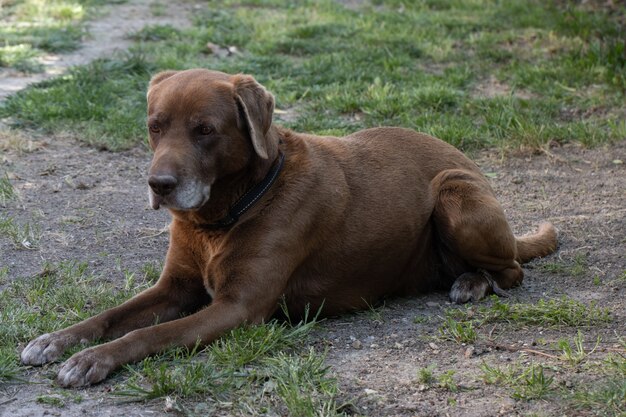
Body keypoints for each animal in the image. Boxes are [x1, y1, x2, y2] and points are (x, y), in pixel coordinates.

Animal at [20, 69, 556, 386]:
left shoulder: (237, 308)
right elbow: (112, 316)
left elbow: (147, 336)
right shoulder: (174, 287)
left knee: (512, 270)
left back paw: (472, 282)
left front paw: (93, 360)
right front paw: (58, 340)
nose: (160, 185)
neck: (226, 214)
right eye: (155, 126)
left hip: (454, 193)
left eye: (205, 130)